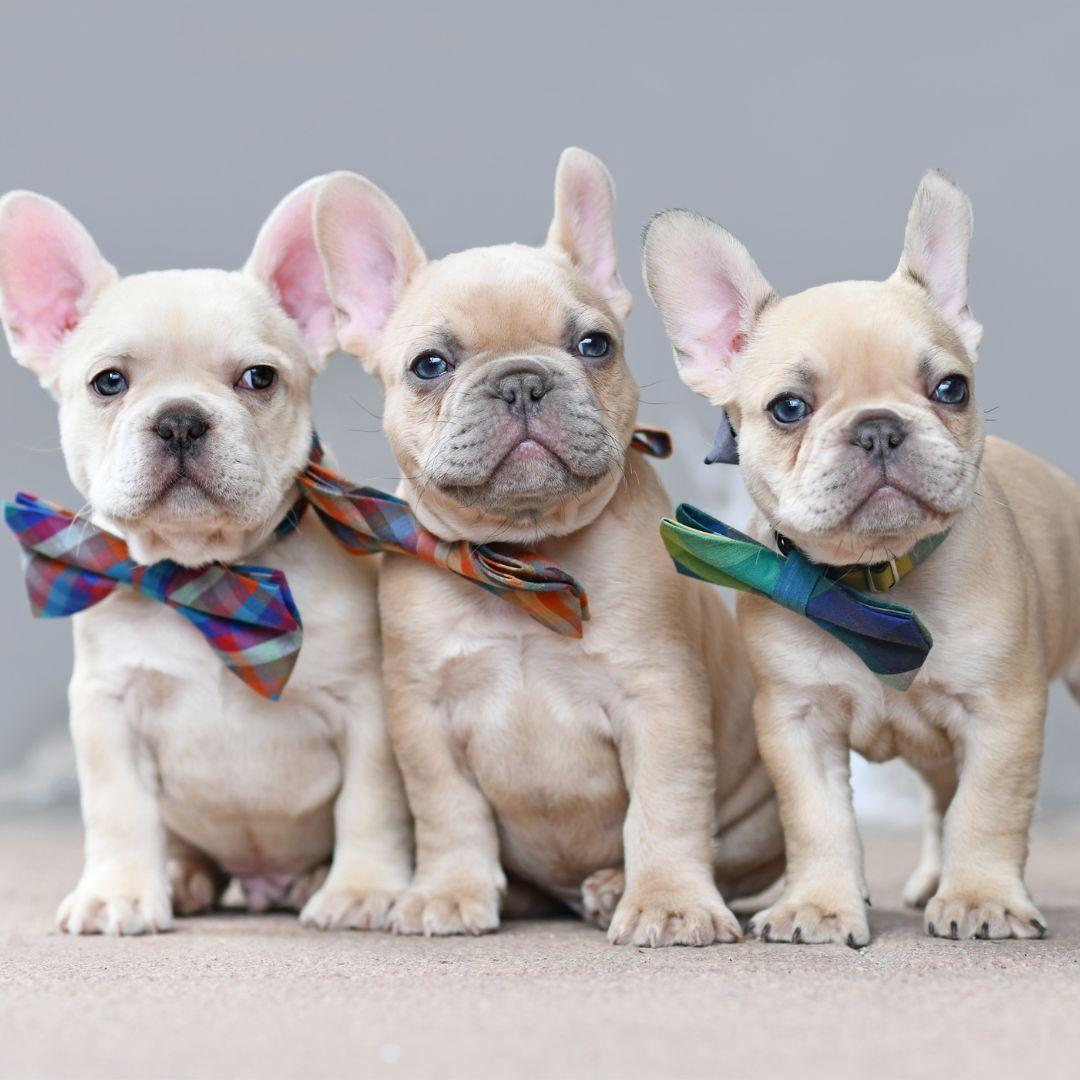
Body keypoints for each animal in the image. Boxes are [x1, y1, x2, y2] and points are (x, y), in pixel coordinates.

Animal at [0, 181, 410, 933]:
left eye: (259, 377)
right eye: (108, 382)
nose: (180, 419)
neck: (204, 578)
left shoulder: (366, 708)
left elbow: (369, 802)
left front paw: (362, 888)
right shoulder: (107, 708)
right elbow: (119, 808)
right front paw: (119, 892)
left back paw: (314, 879)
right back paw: (181, 876)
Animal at [313, 150, 786, 946]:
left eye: (593, 345)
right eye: (429, 364)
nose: (522, 380)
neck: (522, 557)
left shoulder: (660, 701)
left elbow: (664, 809)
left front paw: (667, 901)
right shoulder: (424, 717)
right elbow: (449, 813)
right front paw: (448, 894)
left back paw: (612, 886)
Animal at [639, 170, 1080, 946]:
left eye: (951, 389)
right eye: (788, 407)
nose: (879, 427)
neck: (870, 585)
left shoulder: (1001, 712)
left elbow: (988, 809)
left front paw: (983, 897)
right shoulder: (797, 721)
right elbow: (818, 822)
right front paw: (819, 905)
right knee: (937, 802)